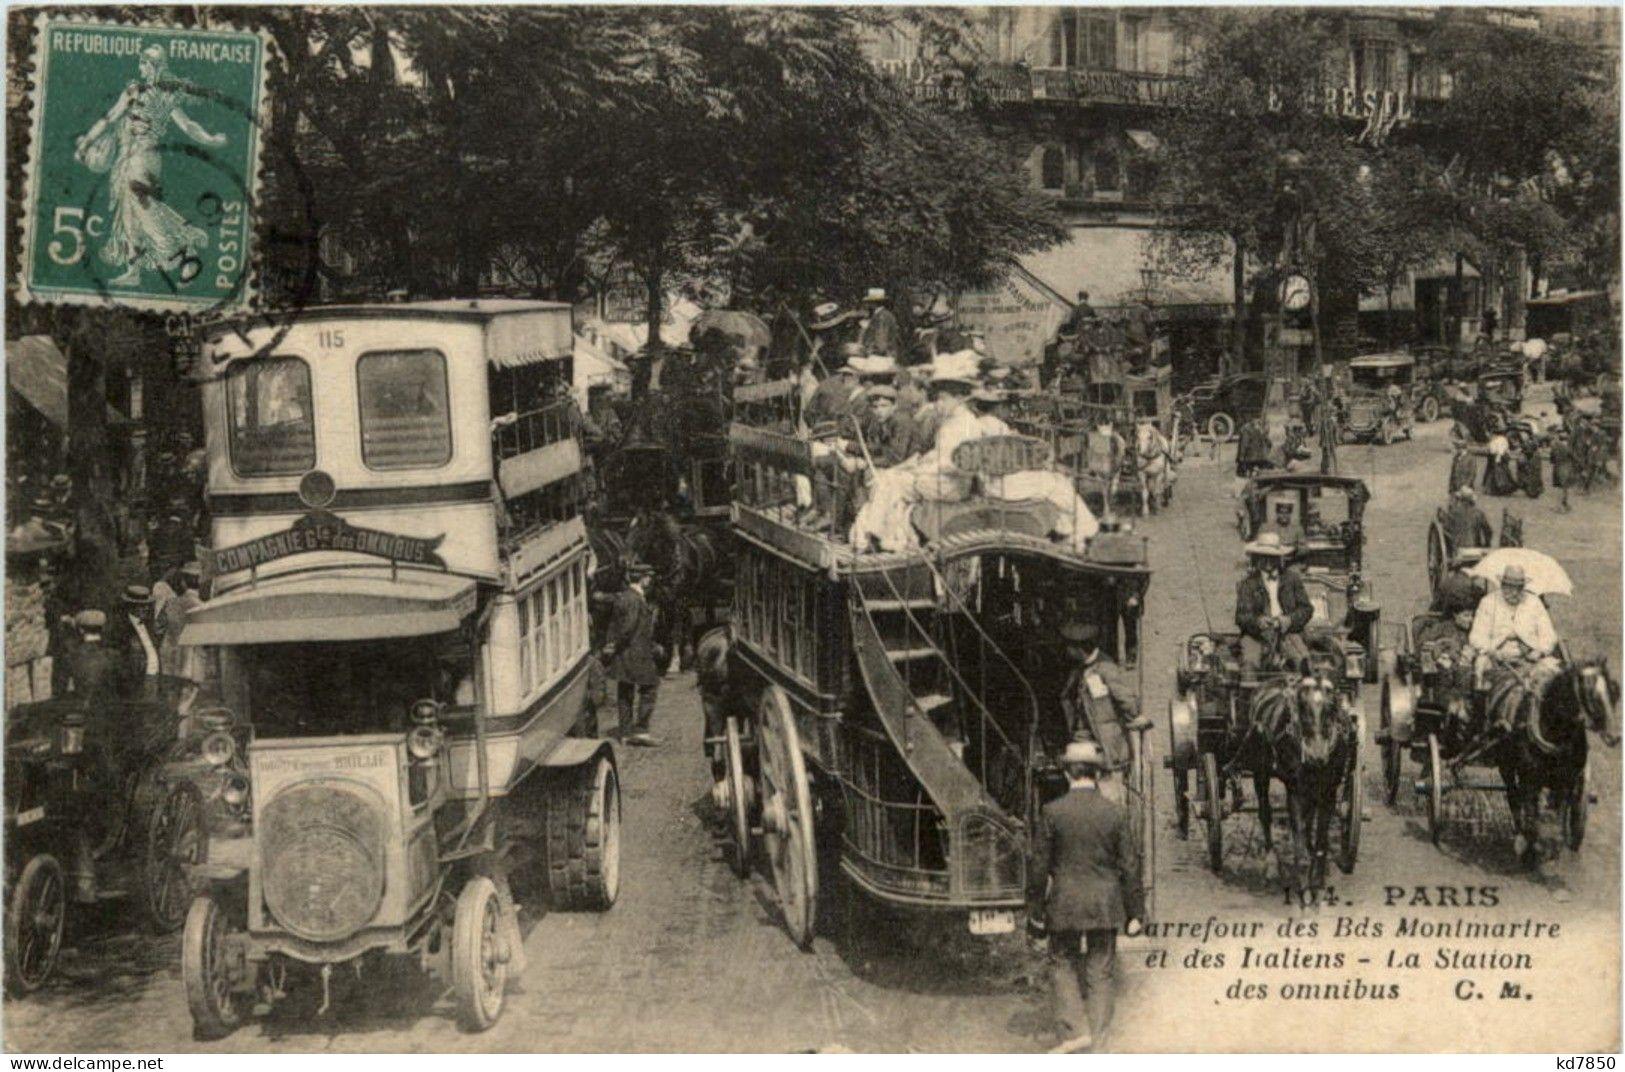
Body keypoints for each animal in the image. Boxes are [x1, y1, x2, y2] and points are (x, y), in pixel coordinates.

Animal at [1241, 675, 1358, 903]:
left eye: (1331, 706)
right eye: (1301, 706)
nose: (1316, 755)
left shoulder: (1329, 791)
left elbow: (1320, 840)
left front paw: (1318, 882)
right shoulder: (1294, 790)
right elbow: (1298, 842)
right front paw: (1304, 890)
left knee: (1309, 817)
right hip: (1261, 773)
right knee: (1265, 813)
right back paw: (1271, 865)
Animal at [1488, 656, 1618, 864]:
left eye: (1613, 691)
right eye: (1590, 694)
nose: (1614, 737)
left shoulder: (1566, 781)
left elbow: (1559, 812)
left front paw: (1555, 846)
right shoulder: (1530, 779)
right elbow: (1531, 812)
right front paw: (1530, 849)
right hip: (1506, 766)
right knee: (1513, 797)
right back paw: (1519, 833)